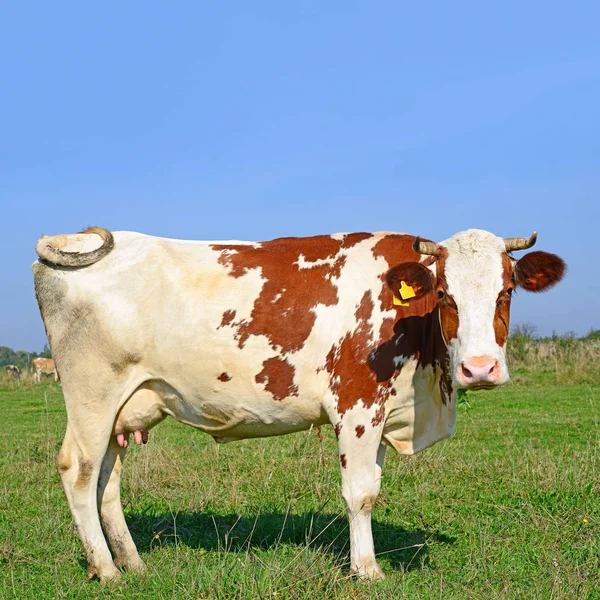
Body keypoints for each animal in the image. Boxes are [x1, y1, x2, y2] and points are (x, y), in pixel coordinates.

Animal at [32, 225, 568, 580]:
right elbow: (360, 493)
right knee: (78, 471)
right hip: (91, 393)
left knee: (107, 479)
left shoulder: (381, 411)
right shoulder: (356, 406)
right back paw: (106, 570)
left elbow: (372, 486)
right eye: (444, 295)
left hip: (122, 406)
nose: (480, 368)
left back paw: (133, 563)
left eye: (507, 291)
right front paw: (367, 570)